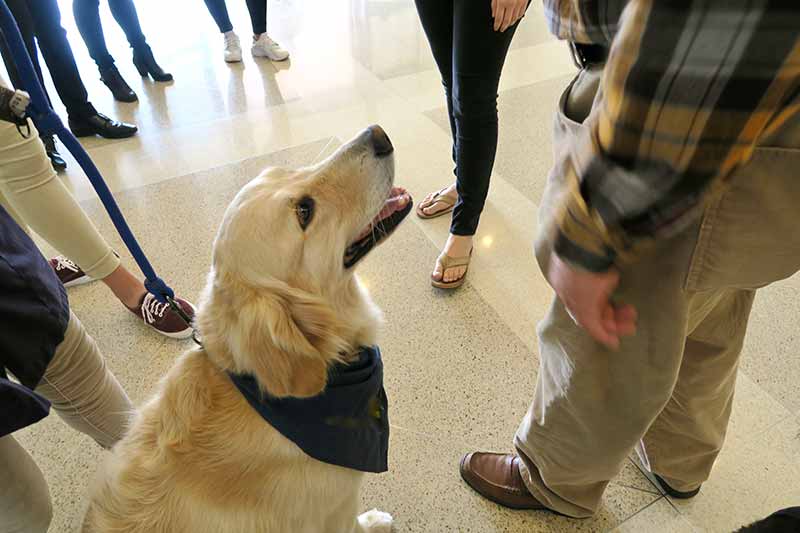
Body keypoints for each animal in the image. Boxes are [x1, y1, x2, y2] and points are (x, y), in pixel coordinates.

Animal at [84, 125, 412, 532]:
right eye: (305, 211)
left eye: (287, 170)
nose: (378, 133)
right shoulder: (335, 512)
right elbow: (355, 522)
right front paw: (375, 521)